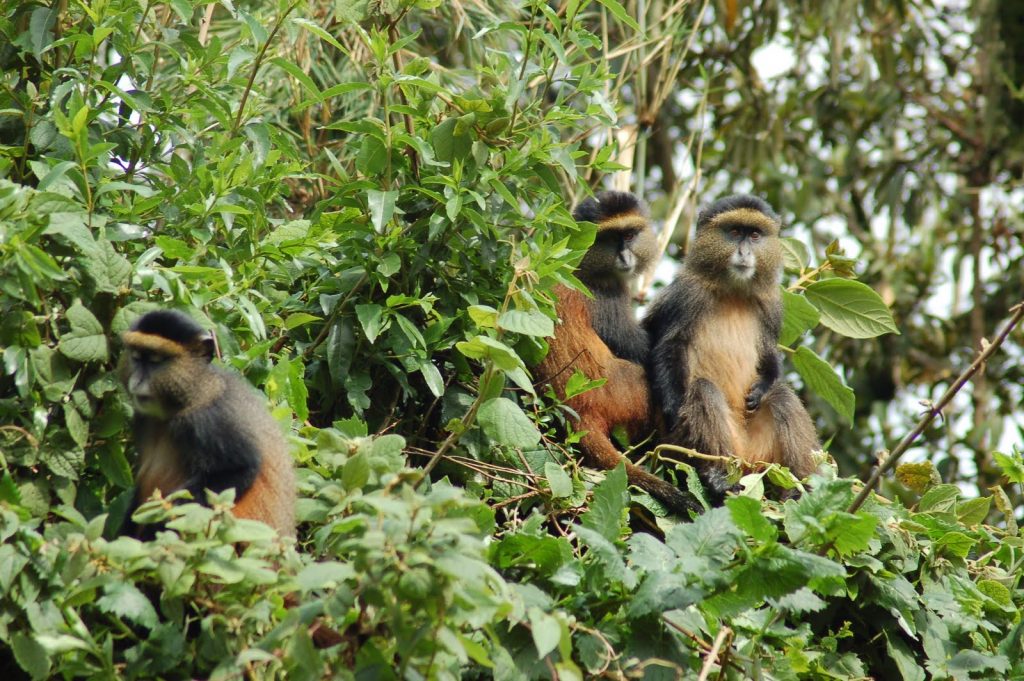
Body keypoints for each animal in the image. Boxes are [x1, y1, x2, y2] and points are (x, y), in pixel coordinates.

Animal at [536, 188, 704, 512]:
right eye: (612, 237)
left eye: (629, 234)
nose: (625, 256)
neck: (583, 259)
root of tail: (580, 410)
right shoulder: (607, 296)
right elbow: (643, 350)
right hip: (629, 395)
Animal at [643, 193, 819, 497]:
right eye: (735, 232)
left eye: (755, 234)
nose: (744, 253)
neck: (732, 291)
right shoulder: (685, 295)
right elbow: (669, 346)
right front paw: (673, 411)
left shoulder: (771, 306)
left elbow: (769, 355)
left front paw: (761, 387)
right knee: (703, 390)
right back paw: (717, 477)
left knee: (782, 396)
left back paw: (800, 488)